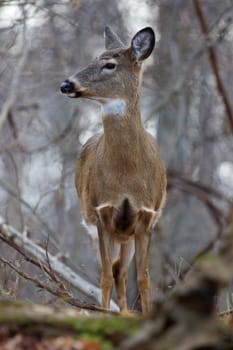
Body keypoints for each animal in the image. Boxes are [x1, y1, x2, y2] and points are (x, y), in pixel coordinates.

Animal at [59, 26, 166, 314]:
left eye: (109, 64)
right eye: (94, 58)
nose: (66, 84)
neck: (127, 176)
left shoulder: (146, 216)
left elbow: (144, 278)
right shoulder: (101, 213)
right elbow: (105, 276)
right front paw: (104, 314)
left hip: (127, 234)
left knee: (123, 271)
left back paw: (126, 312)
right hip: (98, 225)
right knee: (115, 270)